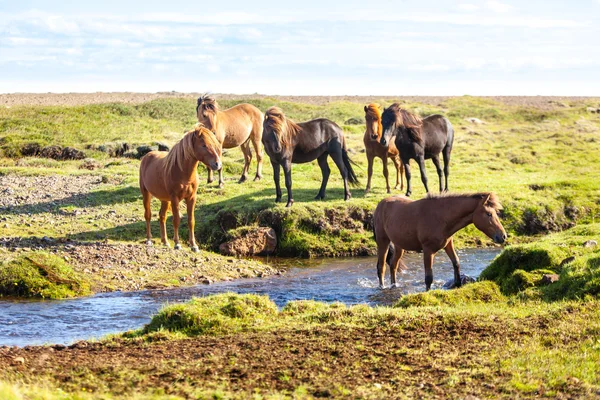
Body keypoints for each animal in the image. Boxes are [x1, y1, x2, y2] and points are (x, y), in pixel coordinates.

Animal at [139, 123, 223, 252]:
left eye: (215, 144)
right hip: (146, 194)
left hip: (164, 199)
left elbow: (191, 220)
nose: (217, 164)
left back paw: (165, 241)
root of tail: (147, 156)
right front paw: (177, 244)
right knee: (148, 215)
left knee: (162, 216)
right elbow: (176, 220)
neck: (182, 172)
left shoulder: (192, 198)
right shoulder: (175, 199)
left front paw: (194, 245)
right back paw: (149, 240)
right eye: (204, 145)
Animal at [376, 191, 506, 290]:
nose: (503, 236)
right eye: (489, 214)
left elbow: (456, 262)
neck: (441, 217)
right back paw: (382, 287)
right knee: (381, 266)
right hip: (383, 241)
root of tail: (381, 203)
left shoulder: (448, 244)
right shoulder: (428, 250)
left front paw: (457, 284)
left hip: (399, 245)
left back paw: (394, 285)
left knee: (393, 264)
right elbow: (429, 277)